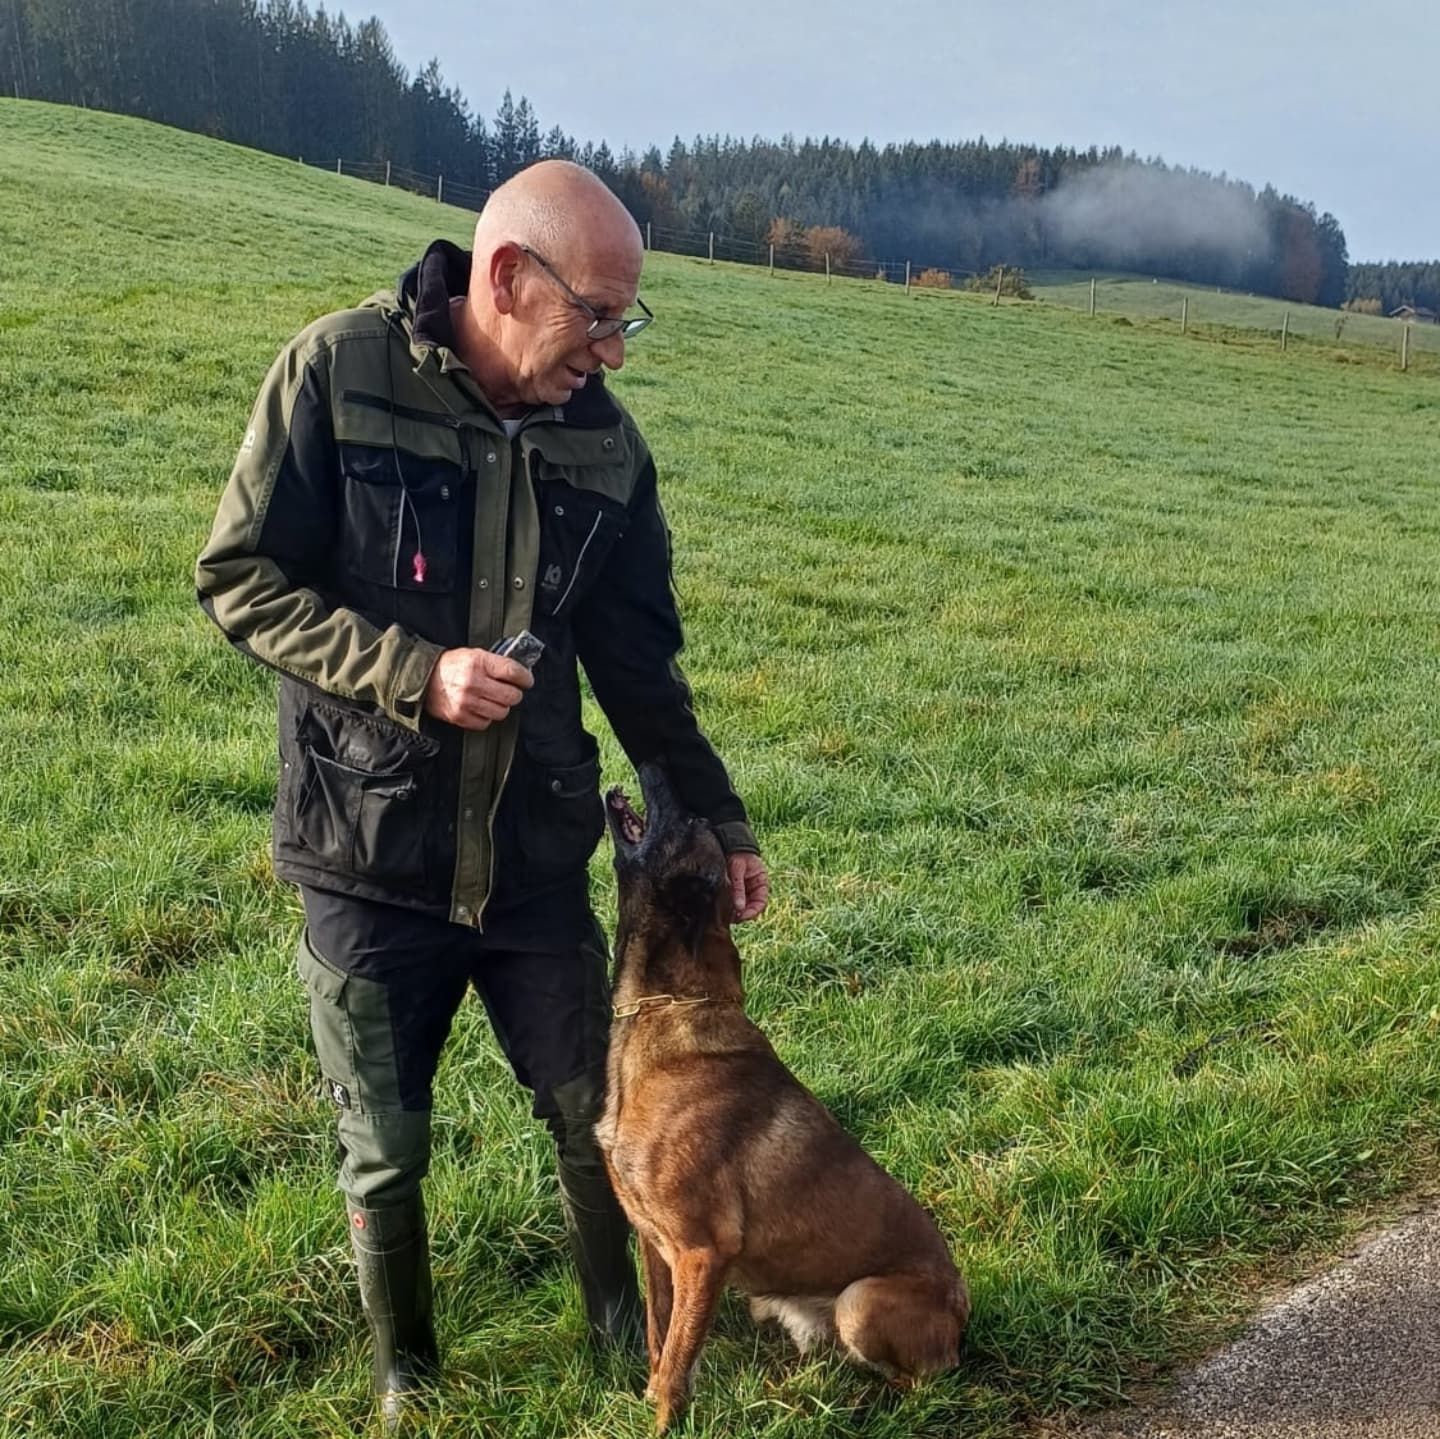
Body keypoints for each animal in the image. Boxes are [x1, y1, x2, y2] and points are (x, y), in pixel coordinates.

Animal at [595, 763, 968, 1432]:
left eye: (691, 821)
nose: (659, 766)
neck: (666, 1011)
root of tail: (962, 1313)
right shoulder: (655, 1247)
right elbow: (661, 1341)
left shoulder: (701, 1253)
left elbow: (677, 1362)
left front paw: (662, 1423)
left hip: (860, 1302)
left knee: (919, 1382)